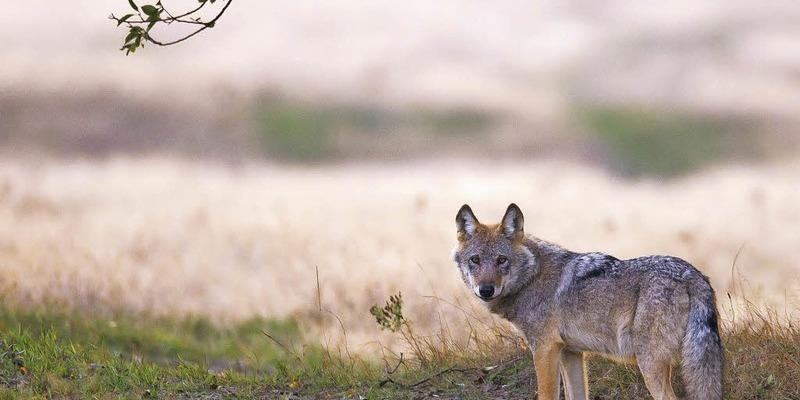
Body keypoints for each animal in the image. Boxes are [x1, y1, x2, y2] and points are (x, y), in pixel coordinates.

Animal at [454, 205, 720, 398]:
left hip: (650, 365)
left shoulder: (544, 349)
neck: (532, 276)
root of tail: (692, 273)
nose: (486, 290)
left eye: (501, 260)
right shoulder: (570, 353)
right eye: (475, 260)